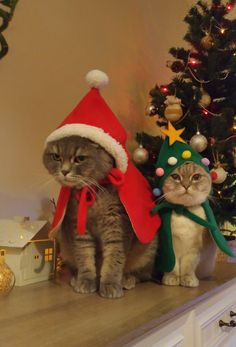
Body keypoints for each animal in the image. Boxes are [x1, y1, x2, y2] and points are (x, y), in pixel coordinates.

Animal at [42, 136, 157, 300]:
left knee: (143, 274)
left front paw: (110, 283)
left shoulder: (117, 227)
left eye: (80, 158)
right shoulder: (80, 228)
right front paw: (86, 280)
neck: (93, 194)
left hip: (147, 251)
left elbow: (114, 259)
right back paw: (75, 277)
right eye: (56, 156)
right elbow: (84, 256)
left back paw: (127, 278)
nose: (64, 171)